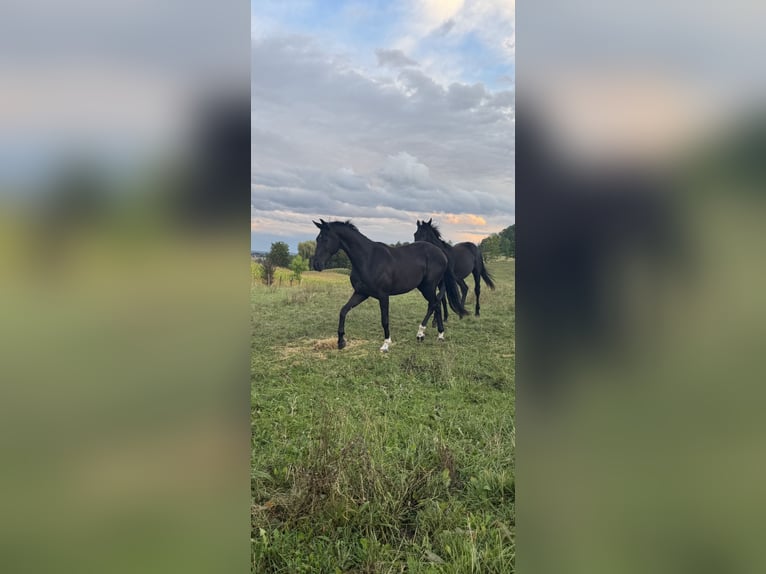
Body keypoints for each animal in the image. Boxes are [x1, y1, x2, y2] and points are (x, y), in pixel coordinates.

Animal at [312, 219, 468, 351]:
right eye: (317, 239)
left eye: (325, 239)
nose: (316, 264)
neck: (368, 259)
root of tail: (441, 253)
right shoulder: (361, 293)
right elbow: (343, 311)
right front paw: (341, 342)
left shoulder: (383, 296)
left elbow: (384, 320)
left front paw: (386, 344)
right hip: (426, 287)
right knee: (436, 304)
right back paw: (433, 334)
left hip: (428, 287)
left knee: (434, 304)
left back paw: (427, 333)